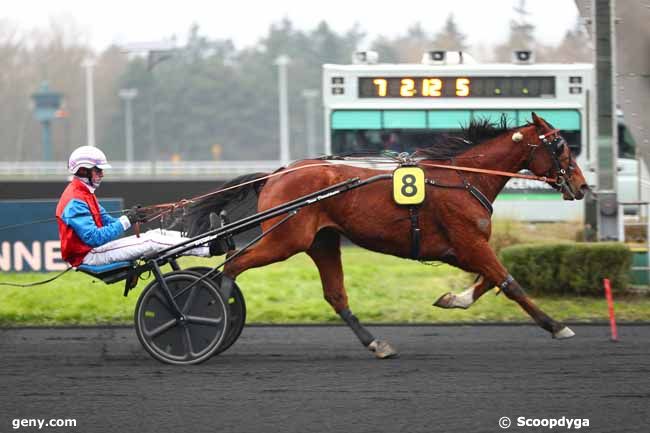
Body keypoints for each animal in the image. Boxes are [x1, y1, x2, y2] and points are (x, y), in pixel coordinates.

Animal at [181, 112, 588, 358]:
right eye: (560, 145)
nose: (582, 186)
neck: (464, 178)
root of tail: (277, 174)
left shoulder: (461, 249)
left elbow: (490, 281)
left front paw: (452, 299)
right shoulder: (470, 243)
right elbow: (509, 282)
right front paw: (557, 326)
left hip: (320, 241)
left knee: (335, 295)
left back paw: (376, 343)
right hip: (285, 240)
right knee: (233, 265)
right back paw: (209, 311)